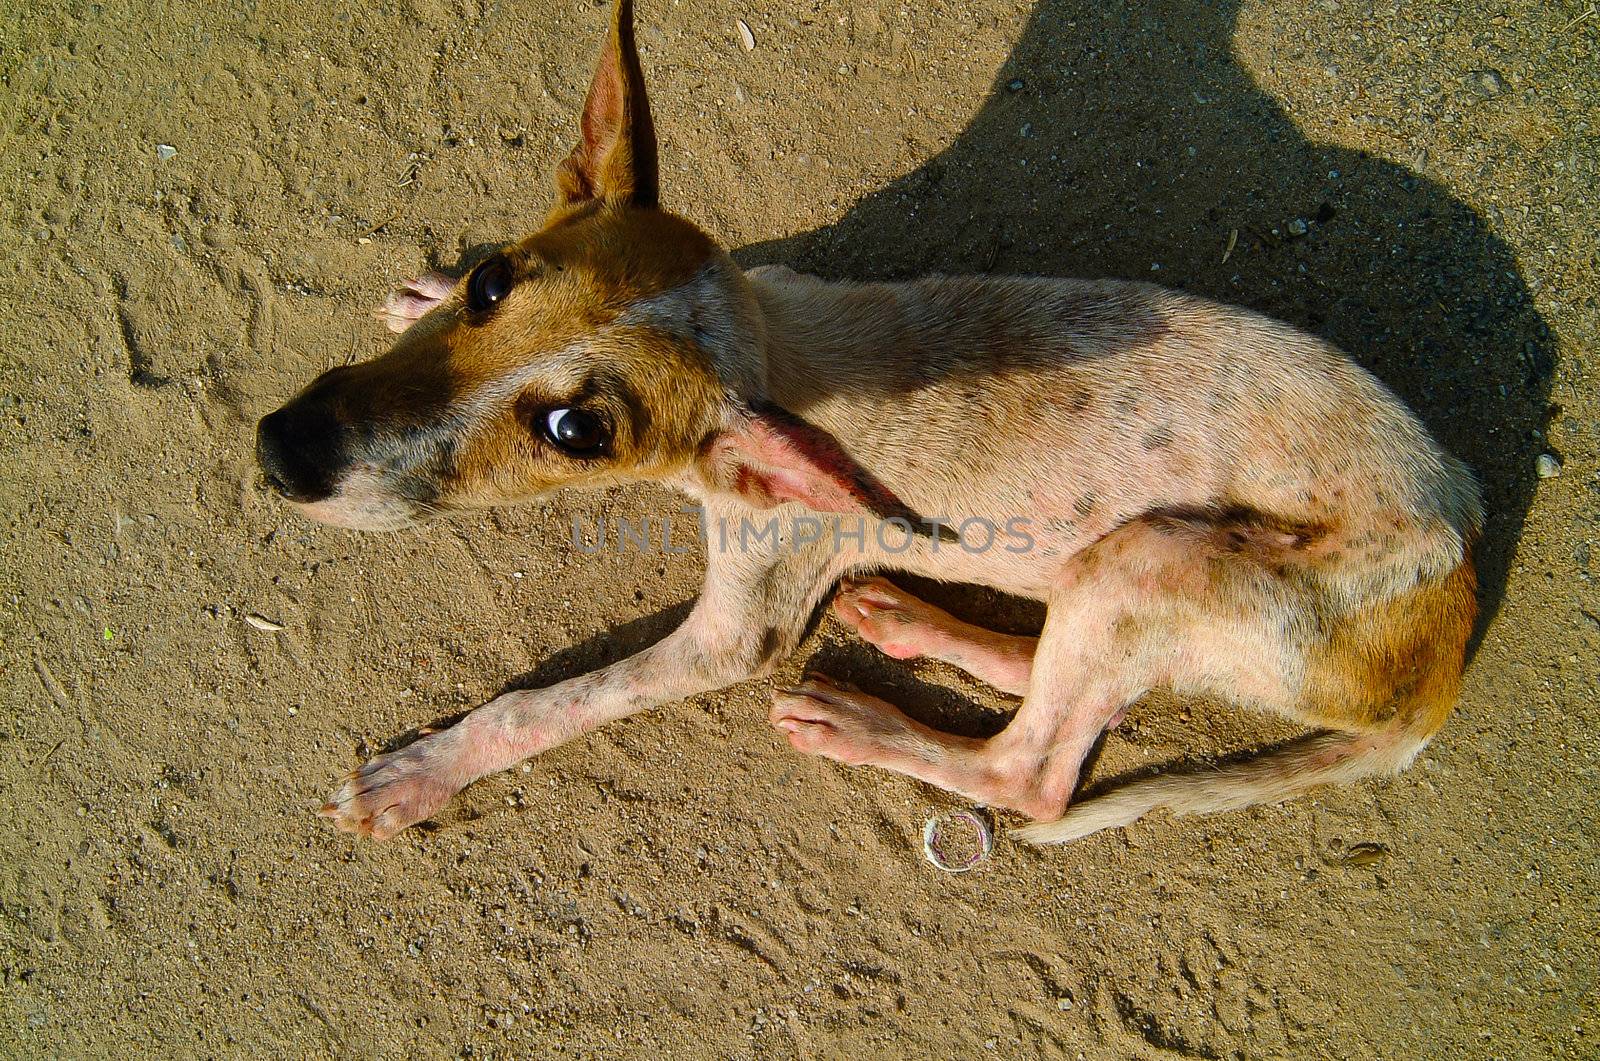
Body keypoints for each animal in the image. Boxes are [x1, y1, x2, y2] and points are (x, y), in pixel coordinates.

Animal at [256, 2, 1478, 844]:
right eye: (493, 282)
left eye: (577, 432)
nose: (281, 453)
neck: (775, 353)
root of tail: (1450, 631)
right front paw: (414, 296)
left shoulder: (740, 628)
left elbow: (545, 704)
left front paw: (420, 772)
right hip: (1117, 577)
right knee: (1064, 676)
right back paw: (918, 622)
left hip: (1160, 556)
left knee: (1034, 771)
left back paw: (869, 724)